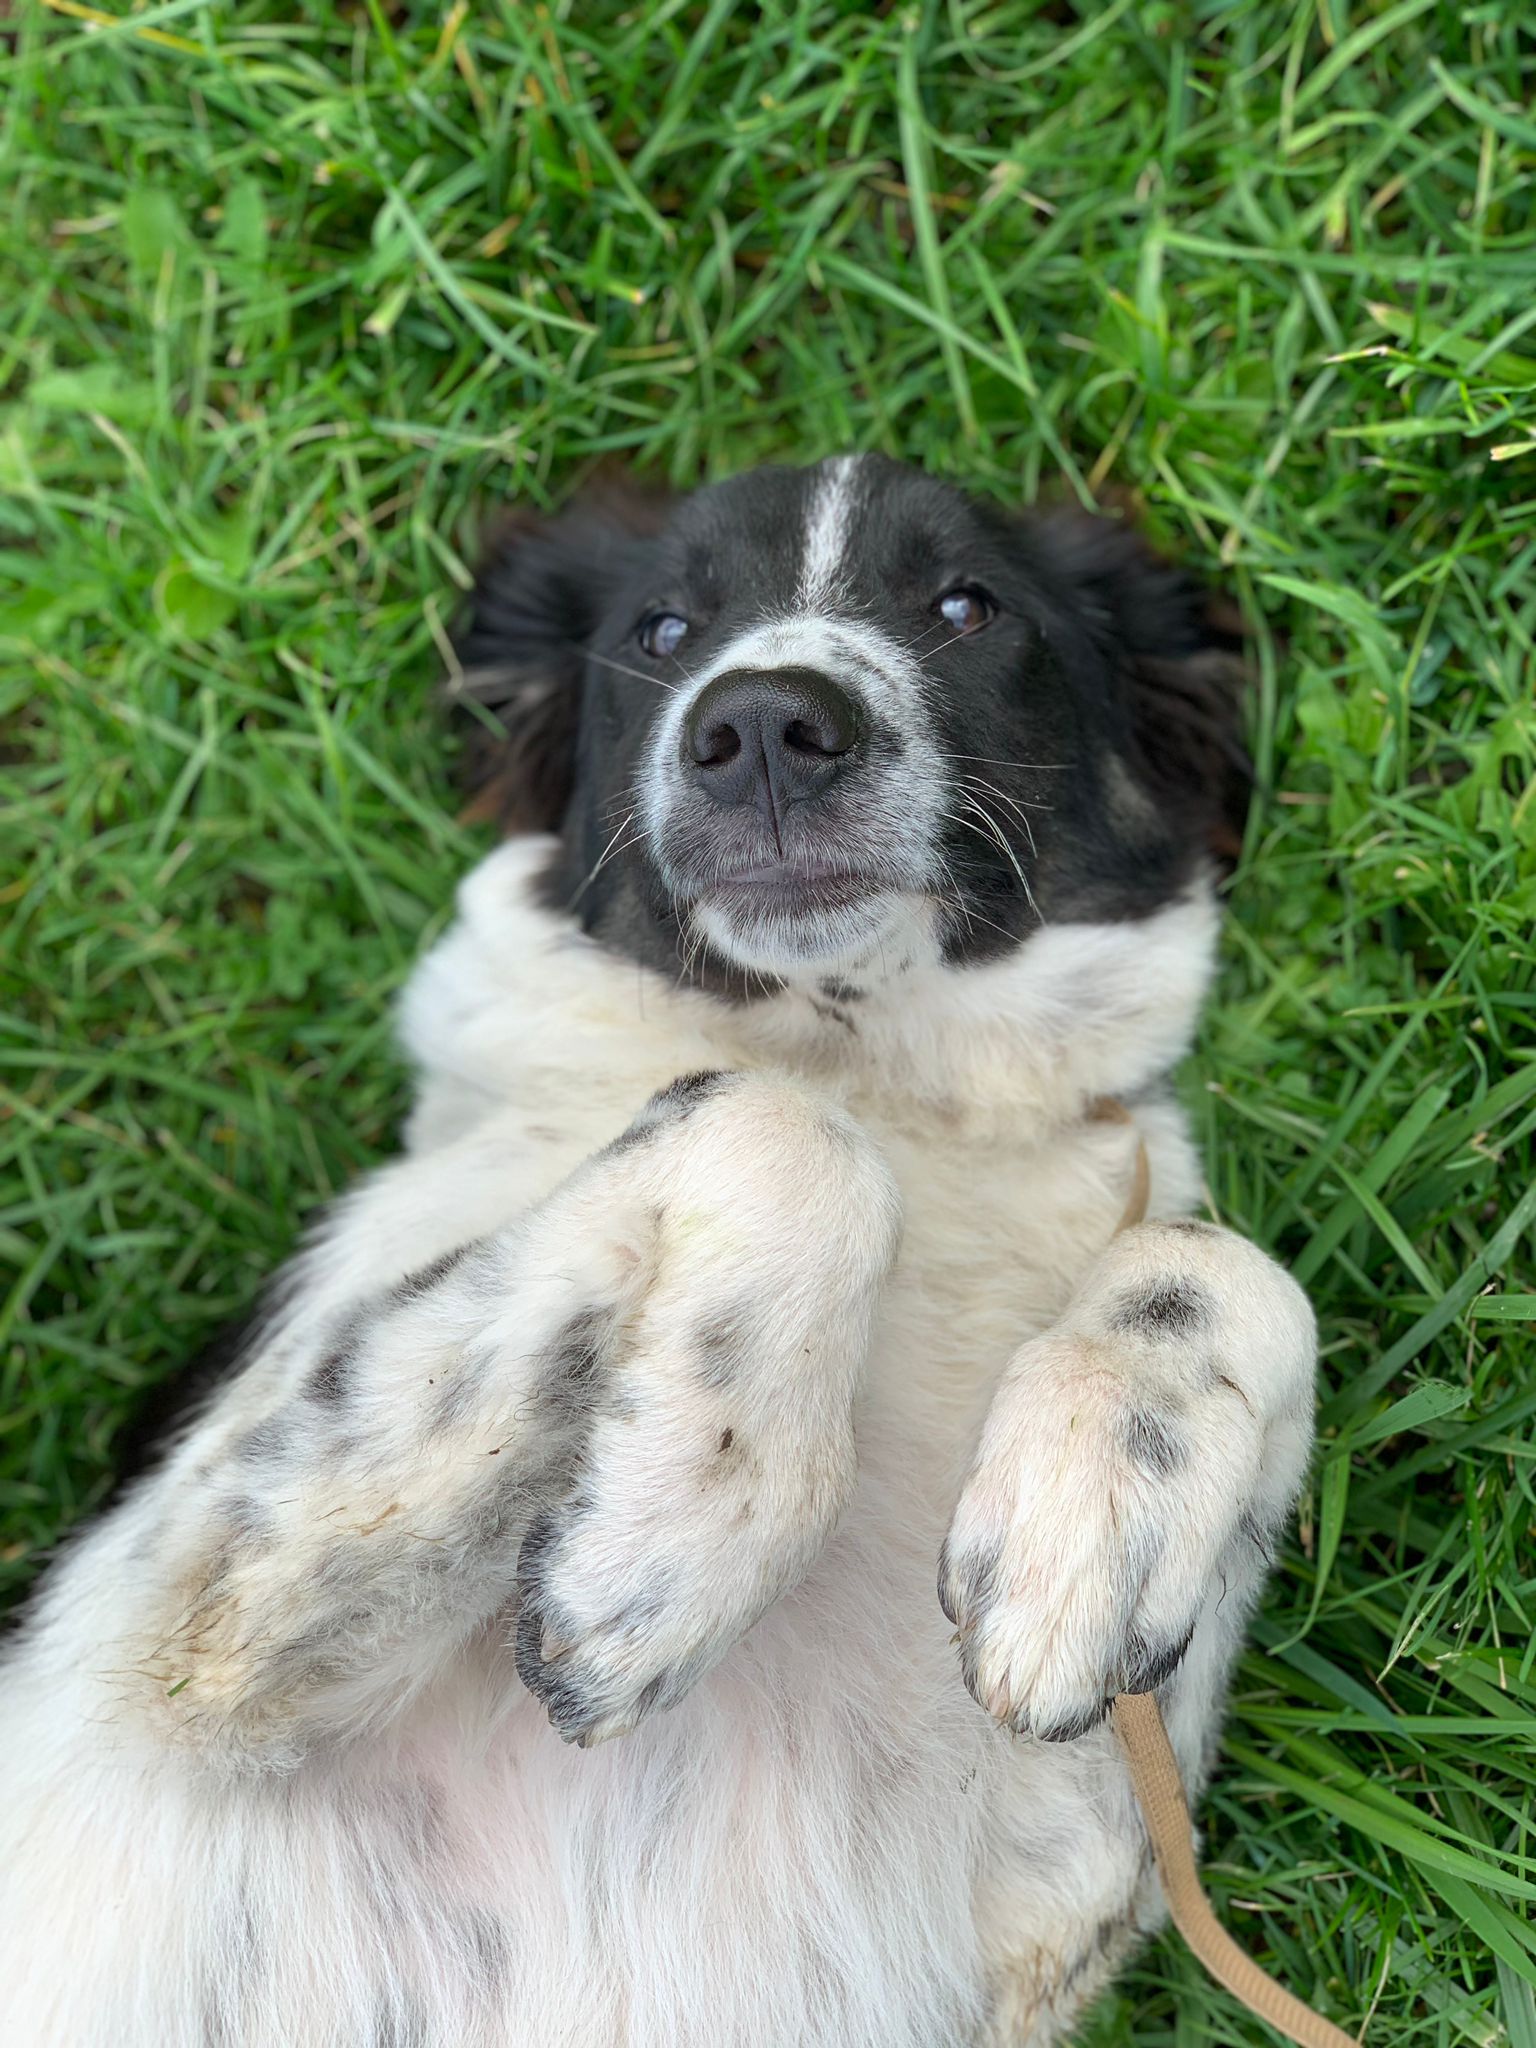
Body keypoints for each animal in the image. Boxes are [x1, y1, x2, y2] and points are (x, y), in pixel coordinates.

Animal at [0, 454, 1317, 2047]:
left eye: (966, 604)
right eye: (664, 628)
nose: (762, 728)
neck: (870, 1063)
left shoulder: (1051, 1887)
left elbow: (1234, 1265)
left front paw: (1091, 1520)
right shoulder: (185, 1633)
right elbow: (781, 1127)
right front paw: (679, 1543)